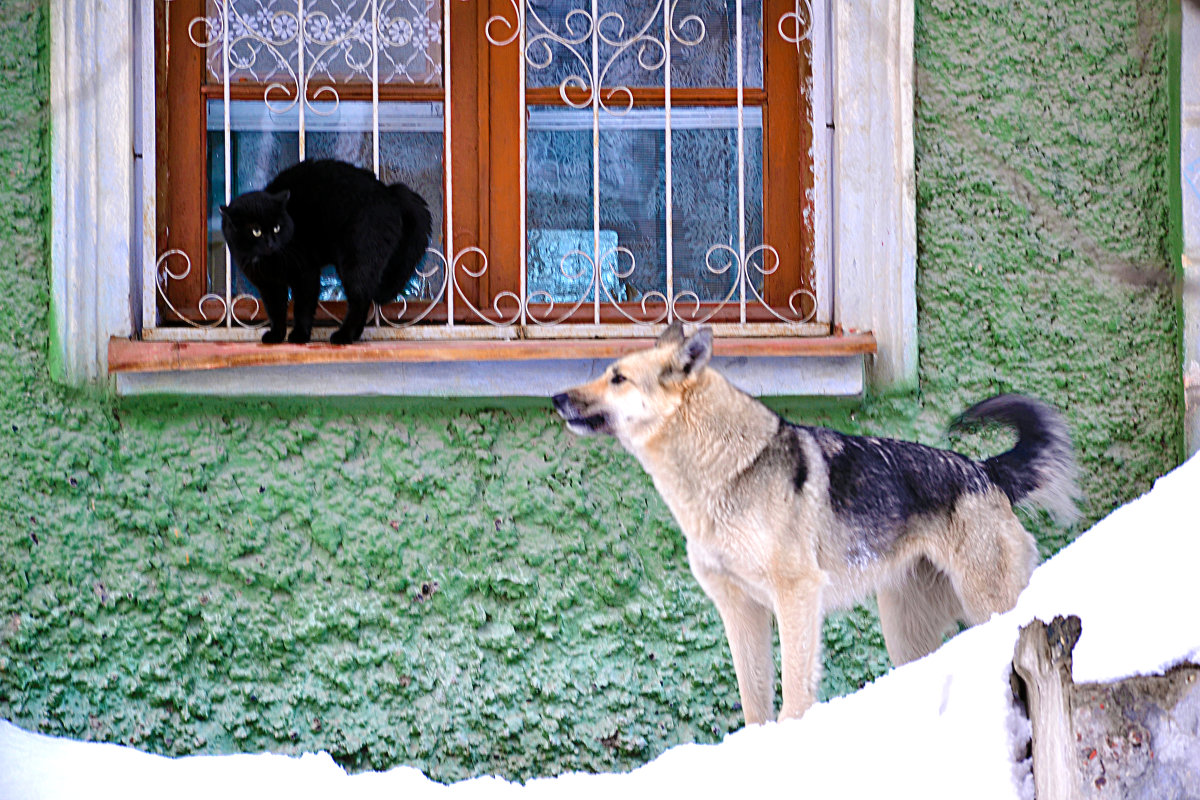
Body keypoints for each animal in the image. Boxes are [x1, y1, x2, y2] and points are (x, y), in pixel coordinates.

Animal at [222, 159, 436, 345]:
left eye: (276, 228)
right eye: (256, 230)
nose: (270, 242)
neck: (270, 261)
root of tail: (389, 192)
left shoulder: (306, 273)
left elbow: (302, 307)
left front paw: (299, 336)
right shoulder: (268, 285)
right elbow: (275, 311)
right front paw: (276, 336)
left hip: (355, 261)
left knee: (359, 300)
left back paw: (343, 336)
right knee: (363, 299)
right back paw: (353, 335)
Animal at [552, 321, 1080, 724]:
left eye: (618, 378)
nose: (556, 398)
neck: (728, 473)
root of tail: (986, 471)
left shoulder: (797, 594)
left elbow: (796, 686)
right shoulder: (740, 609)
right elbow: (753, 696)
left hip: (983, 603)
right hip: (904, 629)